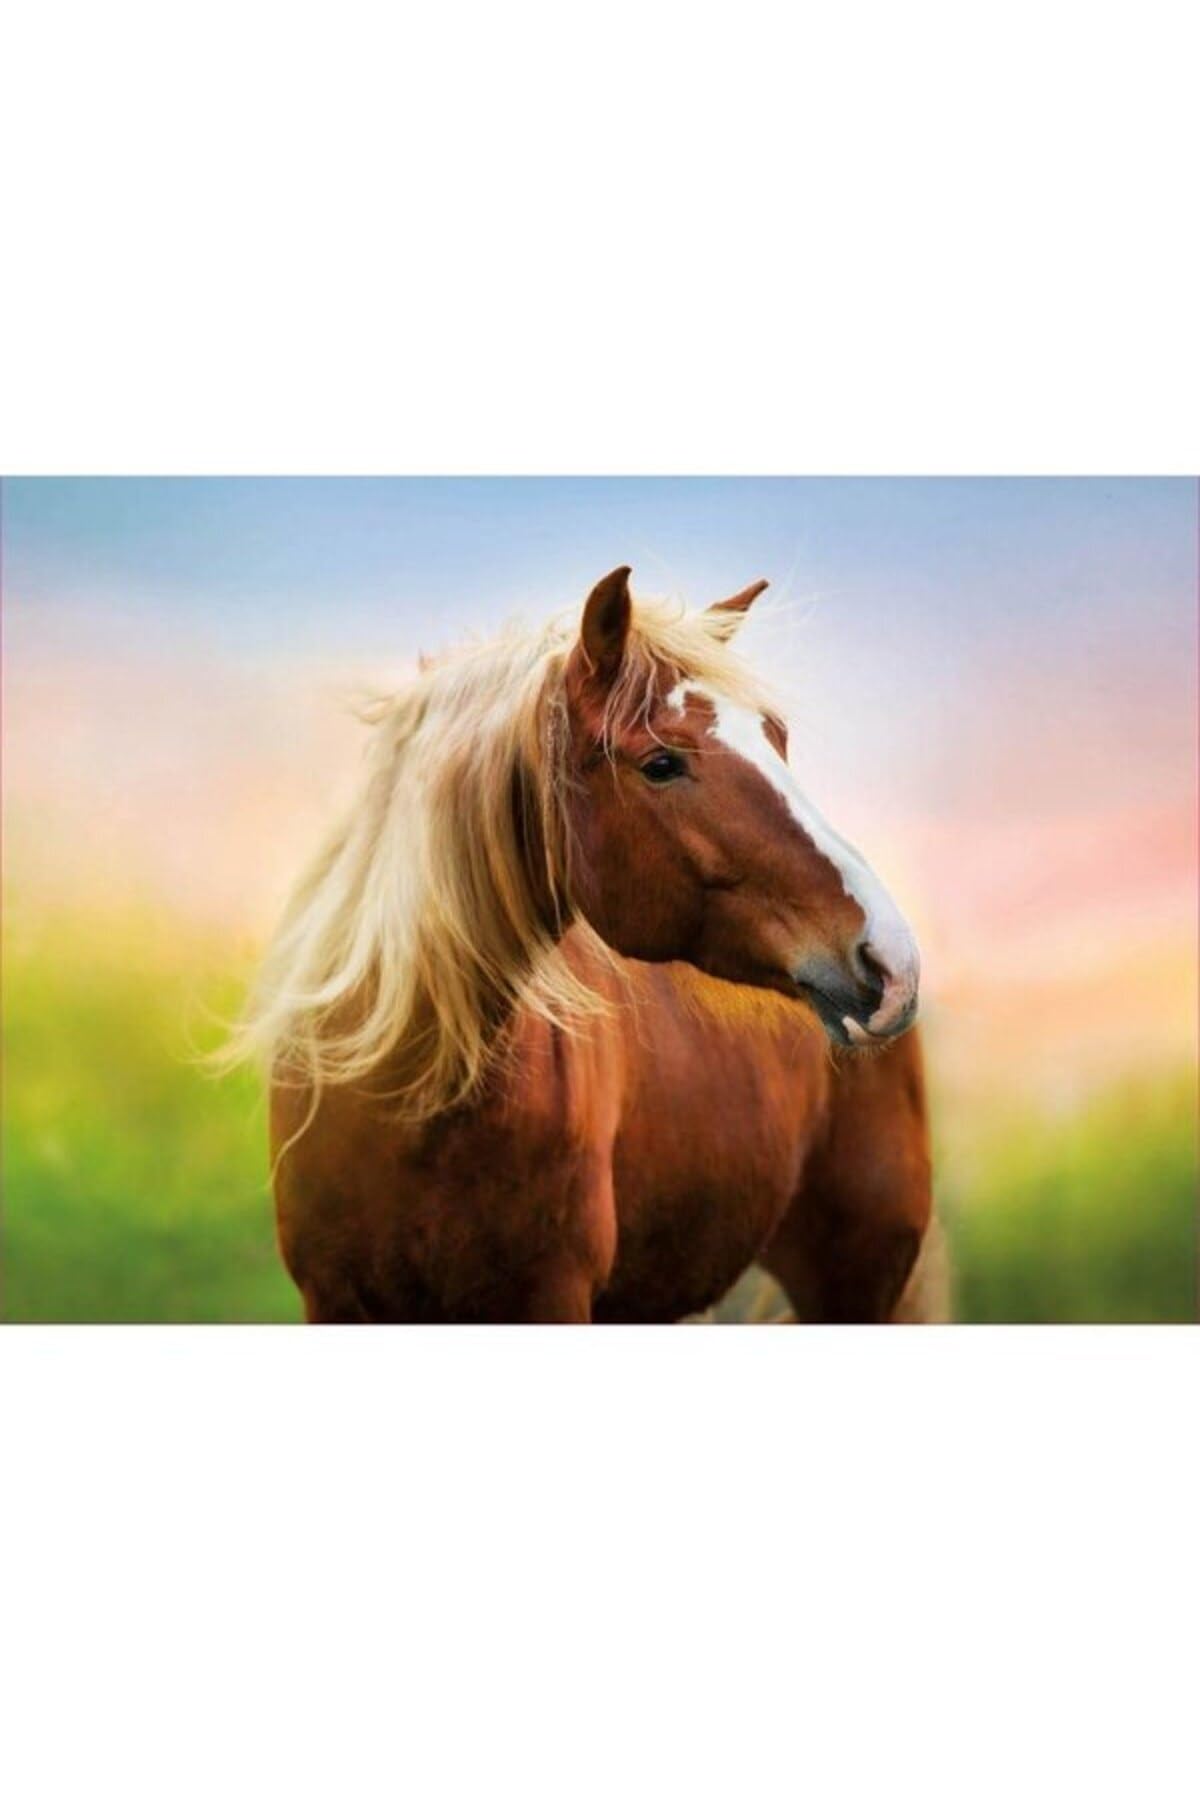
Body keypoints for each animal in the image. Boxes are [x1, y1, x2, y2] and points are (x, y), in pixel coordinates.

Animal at [237, 567, 942, 1323]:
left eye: (776, 739)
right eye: (661, 763)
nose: (891, 958)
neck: (410, 1103)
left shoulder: (550, 1297)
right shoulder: (334, 1298)